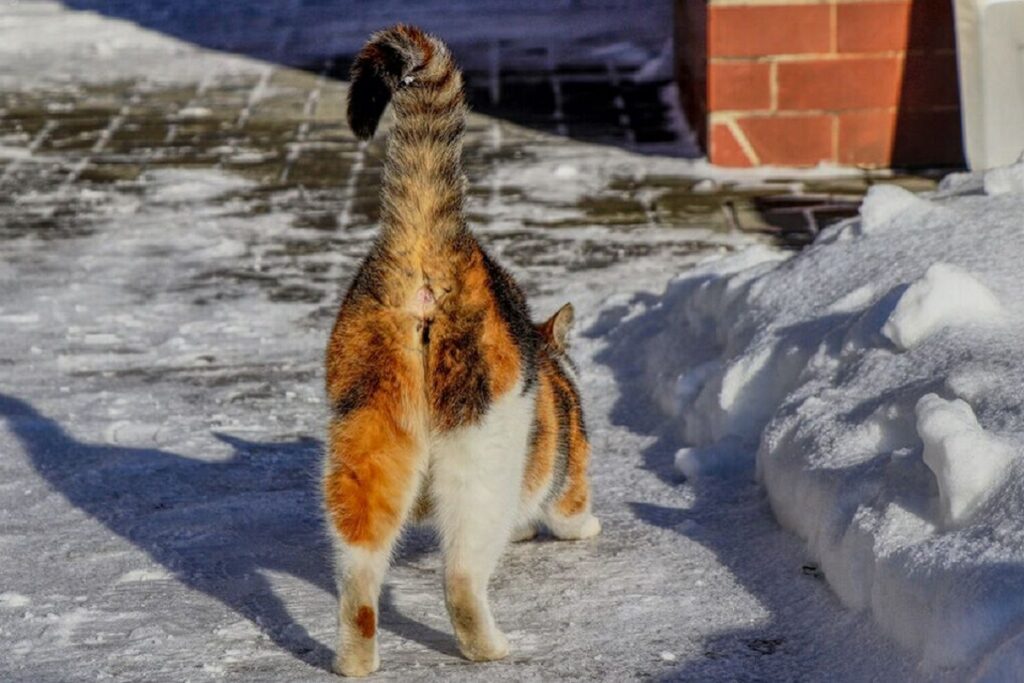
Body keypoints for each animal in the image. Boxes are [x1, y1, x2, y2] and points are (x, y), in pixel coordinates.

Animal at [321, 25, 598, 679]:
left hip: (366, 428)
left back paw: (356, 658)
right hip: (483, 442)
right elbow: (569, 507)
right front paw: (582, 527)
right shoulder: (570, 461)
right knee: (461, 573)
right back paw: (487, 646)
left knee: (359, 566)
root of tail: (430, 238)